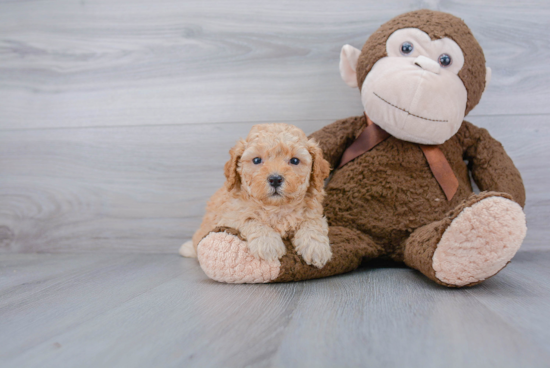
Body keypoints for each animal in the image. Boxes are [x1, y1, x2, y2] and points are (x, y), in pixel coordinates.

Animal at [180, 123, 332, 268]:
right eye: (257, 160)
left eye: (295, 161)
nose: (275, 179)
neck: (276, 207)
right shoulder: (230, 216)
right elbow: (250, 219)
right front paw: (268, 244)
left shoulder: (314, 211)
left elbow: (312, 222)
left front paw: (316, 247)